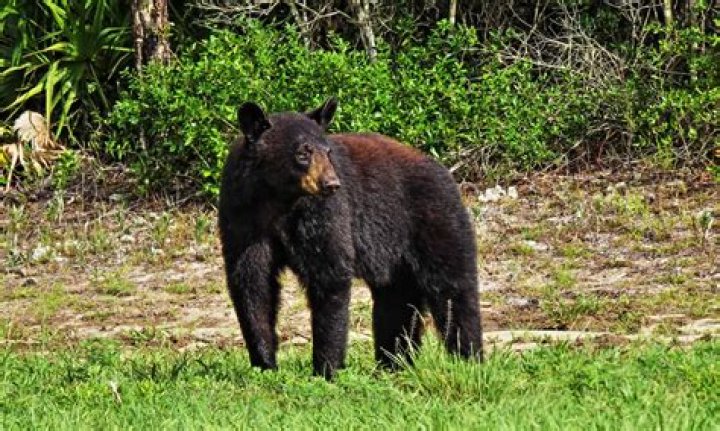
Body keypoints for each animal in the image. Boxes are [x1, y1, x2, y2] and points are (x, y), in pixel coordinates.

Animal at [219, 98, 483, 379]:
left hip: (434, 220)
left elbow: (329, 273)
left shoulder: (323, 213)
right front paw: (265, 363)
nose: (331, 183)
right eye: (303, 152)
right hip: (397, 257)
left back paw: (468, 358)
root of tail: (444, 171)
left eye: (327, 152)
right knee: (396, 301)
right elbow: (251, 281)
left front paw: (326, 368)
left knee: (452, 288)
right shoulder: (242, 215)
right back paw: (393, 363)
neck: (278, 199)